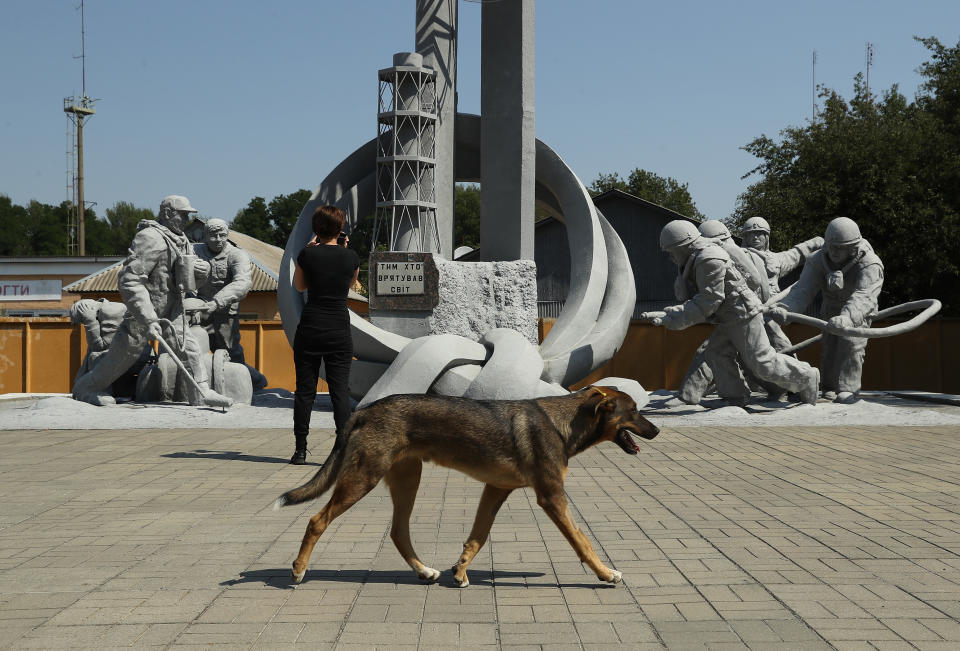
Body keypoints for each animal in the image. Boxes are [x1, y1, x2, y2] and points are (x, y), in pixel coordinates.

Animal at [274, 384, 656, 588]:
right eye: (635, 410)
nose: (656, 431)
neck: (562, 423)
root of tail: (364, 410)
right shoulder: (551, 497)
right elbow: (582, 541)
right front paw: (606, 573)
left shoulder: (496, 489)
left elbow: (477, 537)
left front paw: (459, 571)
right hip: (362, 478)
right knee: (317, 521)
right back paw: (298, 570)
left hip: (407, 480)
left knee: (398, 532)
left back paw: (425, 570)